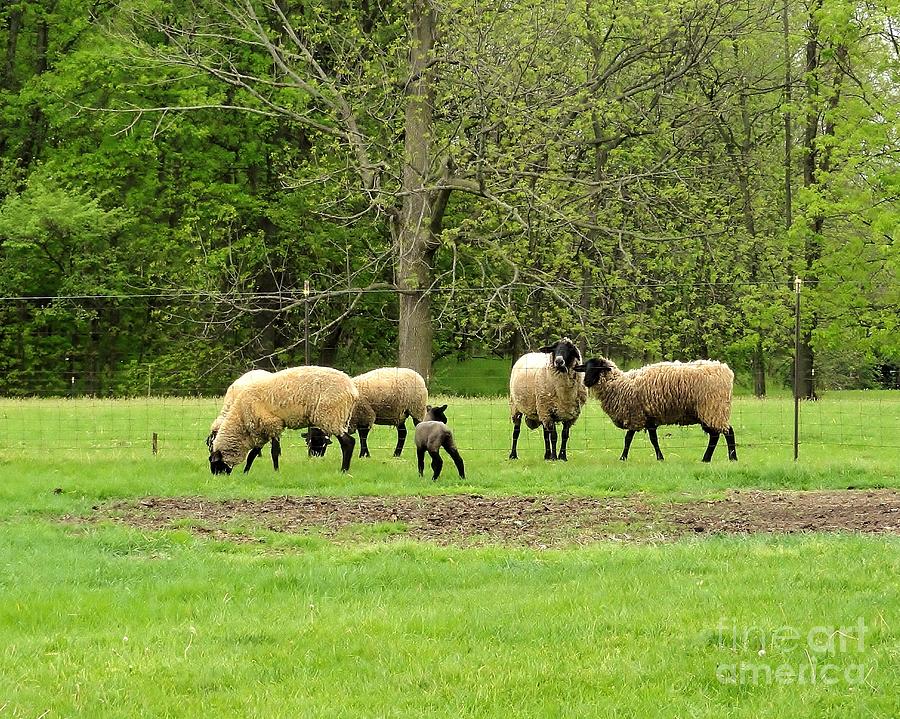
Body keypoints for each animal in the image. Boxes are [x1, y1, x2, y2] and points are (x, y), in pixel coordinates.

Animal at [210, 366, 358, 478]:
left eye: (214, 462)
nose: (216, 476)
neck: (241, 419)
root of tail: (352, 390)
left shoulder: (272, 424)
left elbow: (273, 452)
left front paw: (276, 471)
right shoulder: (262, 430)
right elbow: (252, 454)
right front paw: (246, 472)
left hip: (331, 416)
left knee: (348, 442)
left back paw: (344, 470)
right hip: (338, 417)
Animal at [576, 358, 740, 464]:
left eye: (597, 369)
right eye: (586, 368)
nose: (586, 382)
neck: (620, 384)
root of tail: (726, 371)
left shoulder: (637, 415)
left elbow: (635, 439)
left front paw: (625, 458)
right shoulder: (646, 417)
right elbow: (642, 439)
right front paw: (628, 457)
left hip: (713, 408)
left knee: (726, 432)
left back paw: (731, 458)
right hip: (710, 411)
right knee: (716, 434)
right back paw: (708, 459)